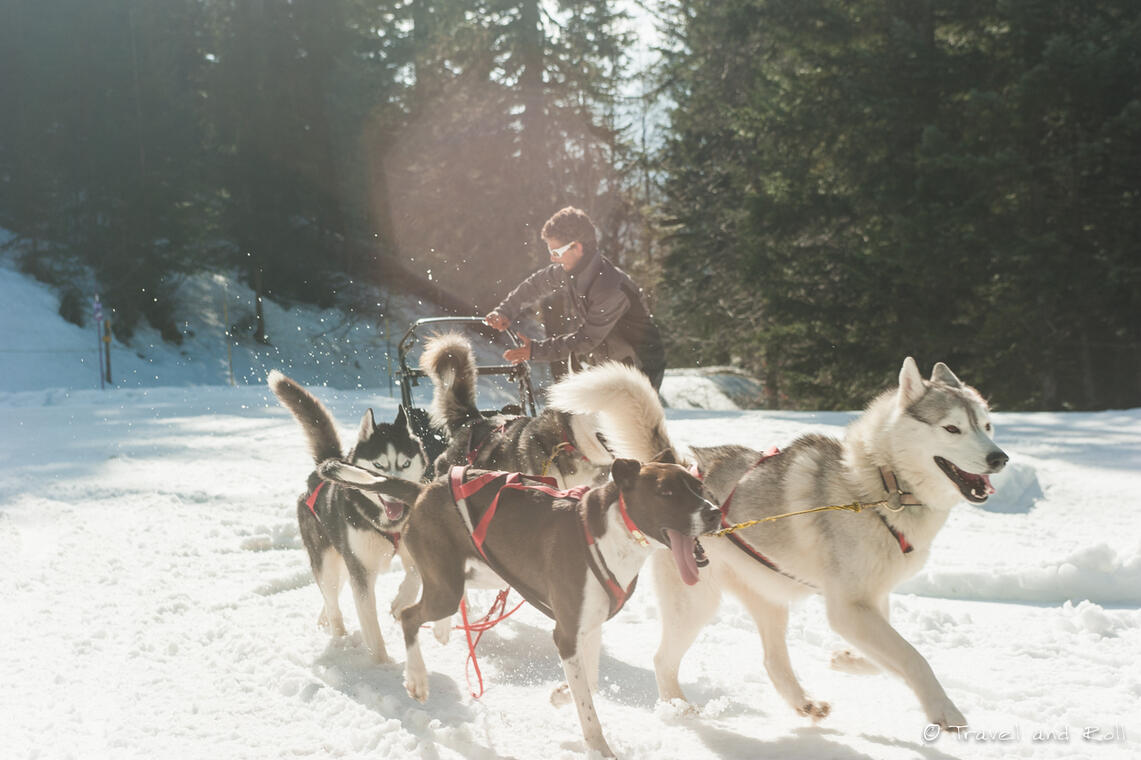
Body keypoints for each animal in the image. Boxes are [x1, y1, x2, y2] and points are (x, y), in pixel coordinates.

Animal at [266, 369, 429, 661]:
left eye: (405, 463)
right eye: (378, 465)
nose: (394, 494)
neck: (385, 521)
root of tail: (323, 465)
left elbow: (415, 576)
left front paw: (401, 601)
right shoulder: (361, 571)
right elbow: (370, 625)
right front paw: (382, 665)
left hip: (342, 560)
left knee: (330, 596)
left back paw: (324, 621)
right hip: (328, 561)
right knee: (332, 599)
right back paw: (339, 637)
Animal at [317, 449, 716, 757]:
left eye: (699, 487)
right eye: (666, 492)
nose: (713, 512)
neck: (613, 532)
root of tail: (424, 488)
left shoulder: (588, 626)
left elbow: (590, 681)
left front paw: (561, 694)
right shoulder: (566, 632)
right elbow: (588, 707)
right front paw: (599, 747)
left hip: (480, 571)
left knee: (426, 600)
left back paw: (437, 627)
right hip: (448, 585)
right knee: (410, 615)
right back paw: (416, 677)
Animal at [652, 356, 1008, 730]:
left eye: (987, 426)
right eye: (952, 428)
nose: (999, 458)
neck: (882, 486)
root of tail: (679, 468)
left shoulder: (870, 601)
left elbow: (885, 656)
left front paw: (846, 658)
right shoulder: (848, 608)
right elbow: (913, 657)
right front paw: (944, 710)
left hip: (770, 597)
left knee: (772, 661)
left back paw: (804, 703)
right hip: (696, 604)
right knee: (662, 659)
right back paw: (677, 709)